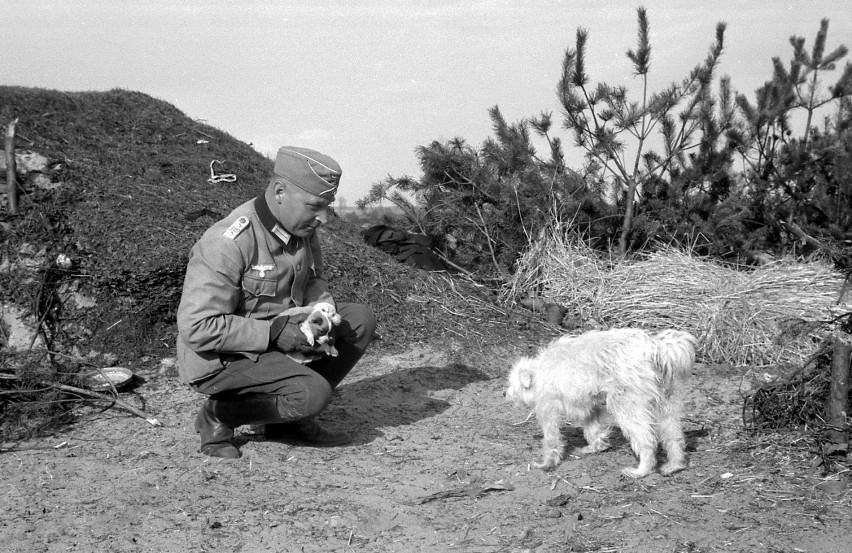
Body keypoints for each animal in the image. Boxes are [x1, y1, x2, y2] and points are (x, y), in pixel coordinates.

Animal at [502, 326, 696, 476]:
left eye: (512, 384)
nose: (504, 393)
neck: (538, 373)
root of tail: (655, 347)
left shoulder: (547, 408)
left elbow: (551, 440)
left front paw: (546, 464)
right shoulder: (589, 406)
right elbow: (592, 428)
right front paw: (596, 447)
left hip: (627, 406)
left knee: (646, 439)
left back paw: (641, 471)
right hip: (666, 405)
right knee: (674, 436)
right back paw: (674, 466)